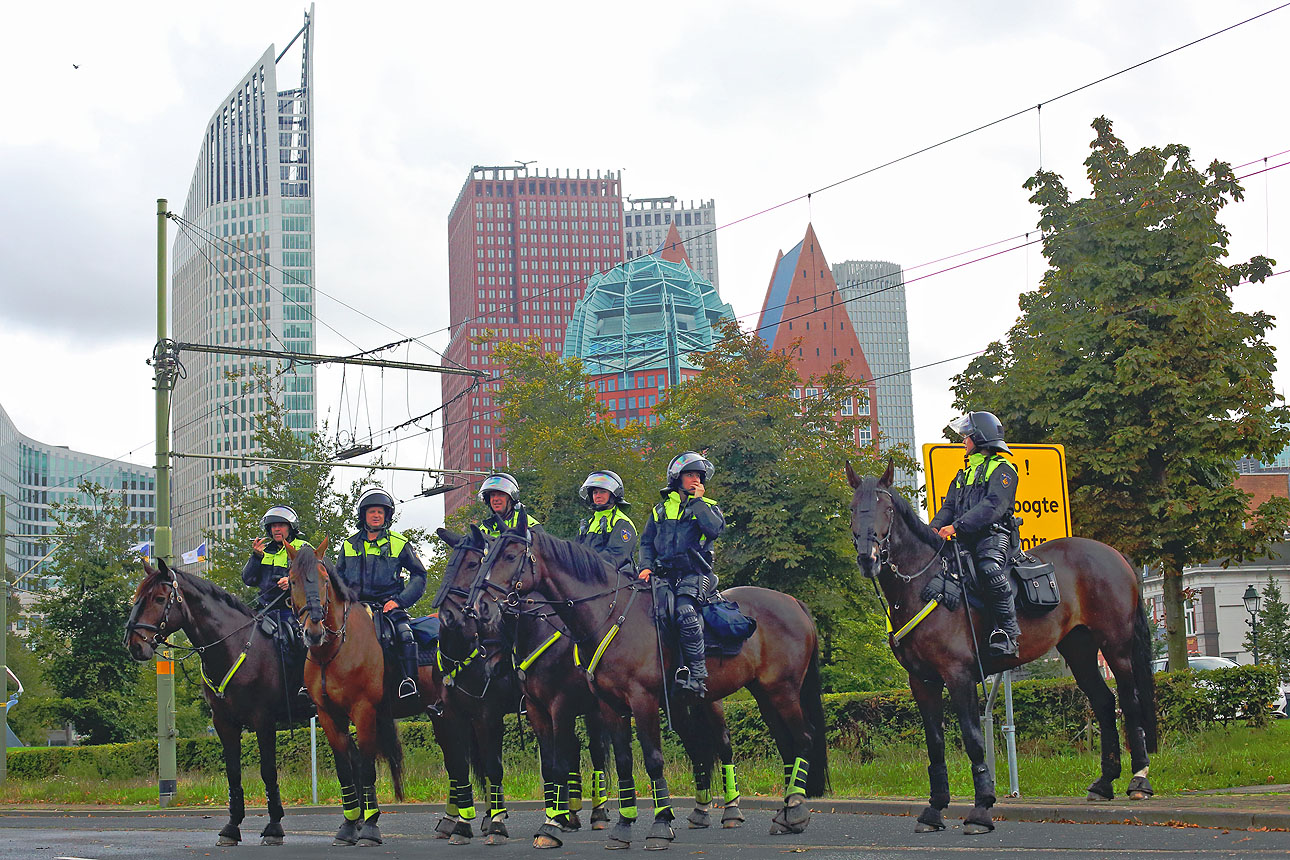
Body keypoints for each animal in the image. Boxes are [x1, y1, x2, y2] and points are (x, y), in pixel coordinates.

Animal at [123, 559, 314, 845]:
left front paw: (274, 827)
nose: (134, 644)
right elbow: (233, 772)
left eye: (159, 598)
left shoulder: (263, 720)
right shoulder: (224, 722)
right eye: (136, 597)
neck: (235, 645)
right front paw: (231, 827)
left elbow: (268, 770)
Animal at [287, 538, 474, 845]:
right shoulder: (329, 716)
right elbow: (345, 770)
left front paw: (370, 826)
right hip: (440, 715)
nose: (313, 631)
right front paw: (349, 825)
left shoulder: (364, 712)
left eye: (325, 580)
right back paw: (450, 821)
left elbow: (366, 767)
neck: (335, 652)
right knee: (454, 760)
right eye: (292, 582)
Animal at [472, 508, 825, 850]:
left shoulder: (624, 702)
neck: (607, 616)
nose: (480, 606)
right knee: (779, 744)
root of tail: (792, 602)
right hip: (760, 694)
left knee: (799, 738)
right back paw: (779, 812)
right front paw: (621, 826)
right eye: (485, 558)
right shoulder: (604, 707)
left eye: (510, 555)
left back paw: (787, 810)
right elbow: (621, 762)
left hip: (780, 692)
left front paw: (659, 824)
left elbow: (650, 760)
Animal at [846, 461, 1161, 835]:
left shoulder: (958, 675)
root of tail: (1114, 554)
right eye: (853, 509)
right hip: (1080, 650)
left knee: (1129, 700)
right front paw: (934, 809)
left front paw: (981, 808)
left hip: (1116, 647)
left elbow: (972, 738)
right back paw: (1104, 782)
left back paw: (1139, 780)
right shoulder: (922, 681)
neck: (923, 585)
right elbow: (935, 743)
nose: (868, 558)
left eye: (887, 508)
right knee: (1103, 701)